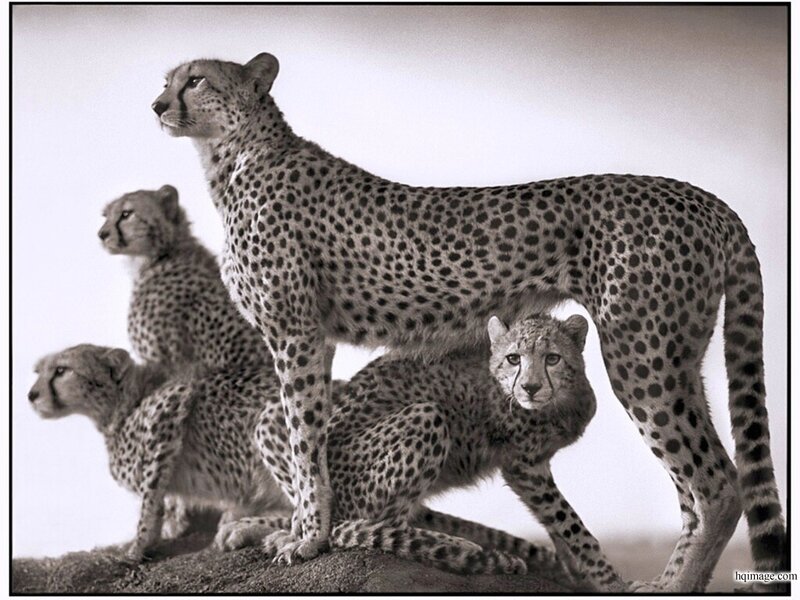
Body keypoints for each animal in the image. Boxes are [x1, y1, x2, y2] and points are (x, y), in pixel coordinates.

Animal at [27, 344, 290, 562]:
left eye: (62, 370)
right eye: (37, 372)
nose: (31, 395)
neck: (123, 401)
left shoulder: (171, 401)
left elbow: (150, 496)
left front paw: (138, 547)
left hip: (268, 422)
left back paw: (254, 531)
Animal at [219, 314, 627, 590]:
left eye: (552, 358)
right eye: (514, 359)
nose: (529, 387)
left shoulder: (536, 465)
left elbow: (557, 526)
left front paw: (578, 574)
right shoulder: (524, 466)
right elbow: (570, 524)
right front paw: (611, 580)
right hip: (425, 417)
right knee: (371, 527)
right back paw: (465, 548)